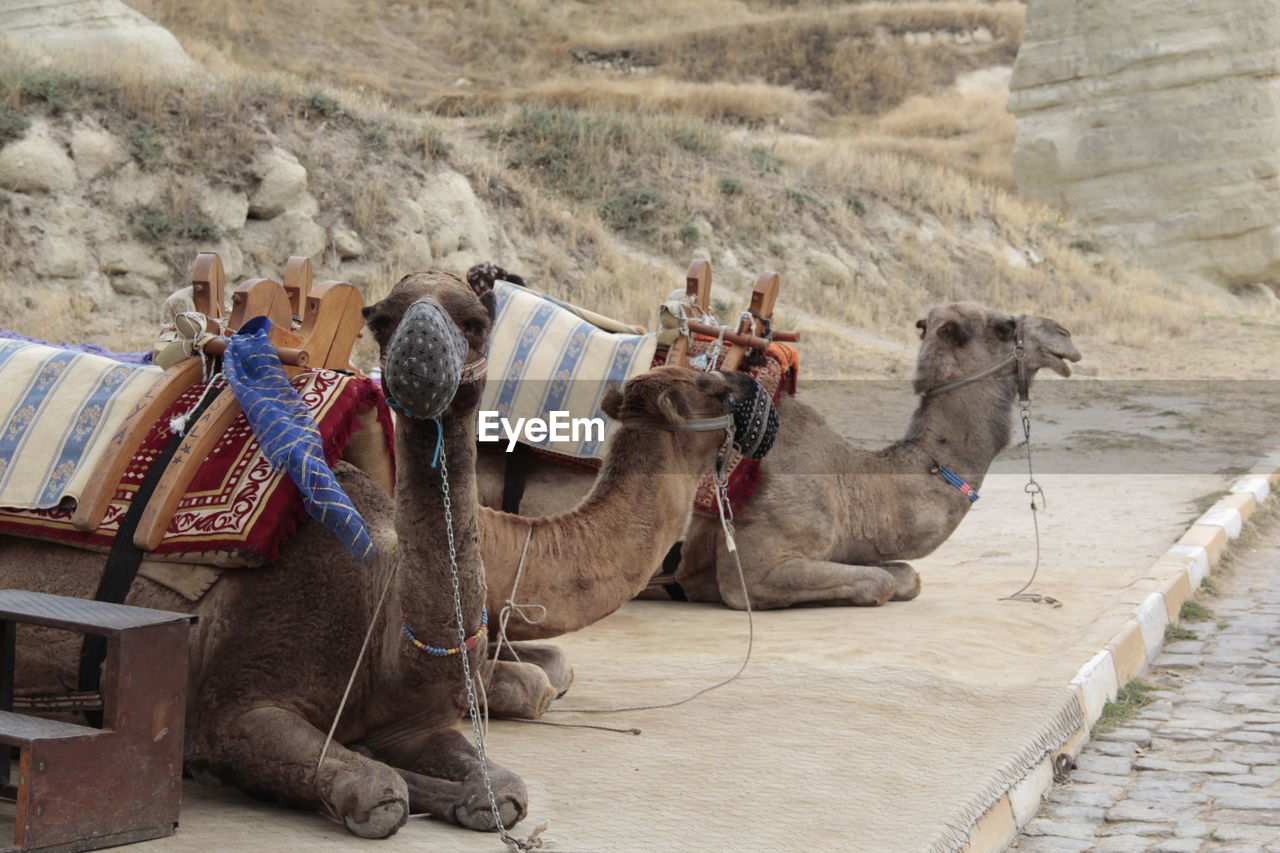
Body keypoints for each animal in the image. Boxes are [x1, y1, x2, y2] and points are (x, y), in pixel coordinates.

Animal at [0, 270, 532, 835]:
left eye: (476, 323)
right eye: (383, 318)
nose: (420, 357)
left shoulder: (413, 726)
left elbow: (503, 789)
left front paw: (465, 794)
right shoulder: (240, 704)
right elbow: (379, 792)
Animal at [476, 302, 1075, 607]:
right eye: (1003, 324)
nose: (1066, 336)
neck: (853, 484)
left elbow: (905, 575)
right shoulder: (756, 567)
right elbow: (882, 583)